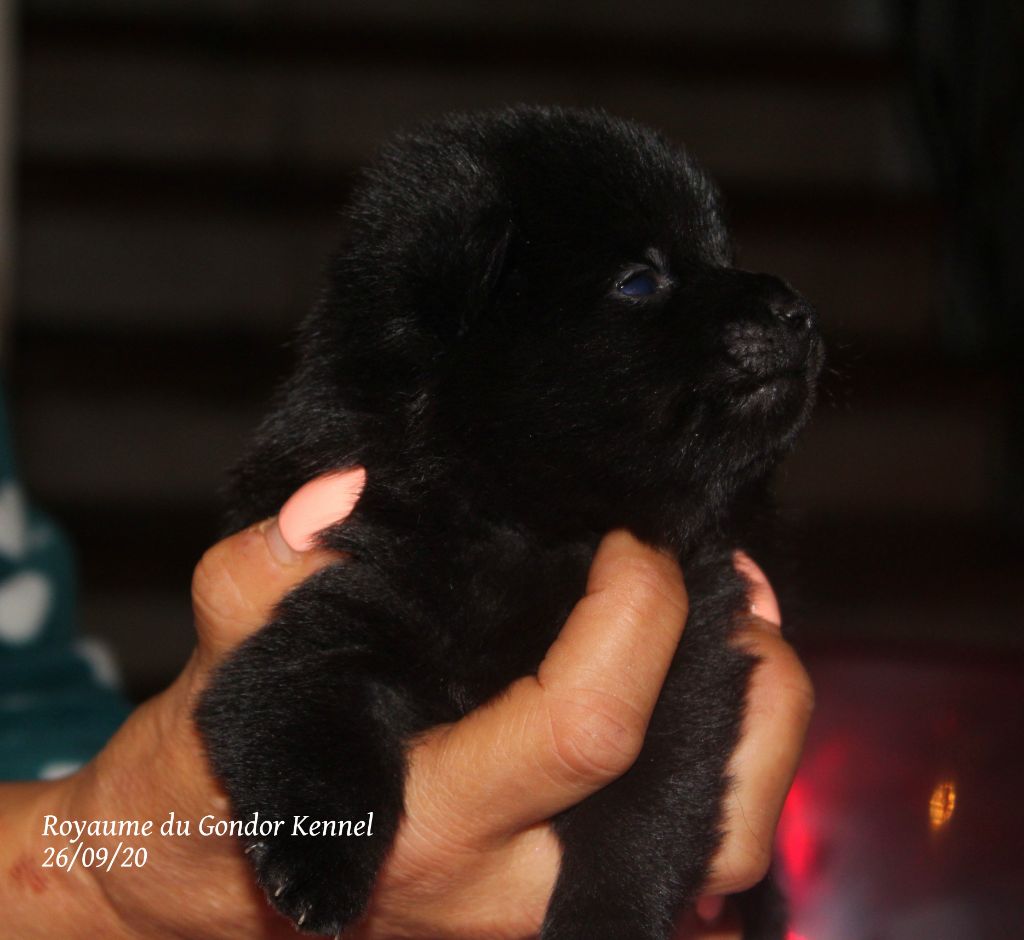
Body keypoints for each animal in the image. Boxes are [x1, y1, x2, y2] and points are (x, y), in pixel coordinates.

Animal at [197, 105, 824, 939]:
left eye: (725, 256)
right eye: (640, 280)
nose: (799, 310)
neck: (532, 519)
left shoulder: (689, 660)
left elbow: (646, 819)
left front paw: (608, 920)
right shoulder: (344, 585)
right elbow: (303, 691)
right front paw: (317, 867)